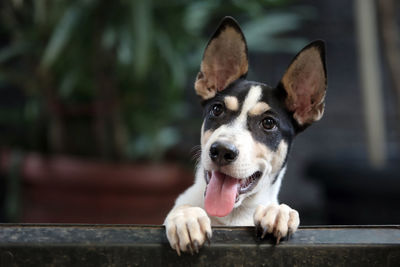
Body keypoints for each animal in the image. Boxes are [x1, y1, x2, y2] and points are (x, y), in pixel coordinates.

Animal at [164, 16, 326, 255]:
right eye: (217, 110)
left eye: (268, 123)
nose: (222, 151)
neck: (232, 216)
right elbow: (182, 206)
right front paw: (186, 217)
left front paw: (278, 212)